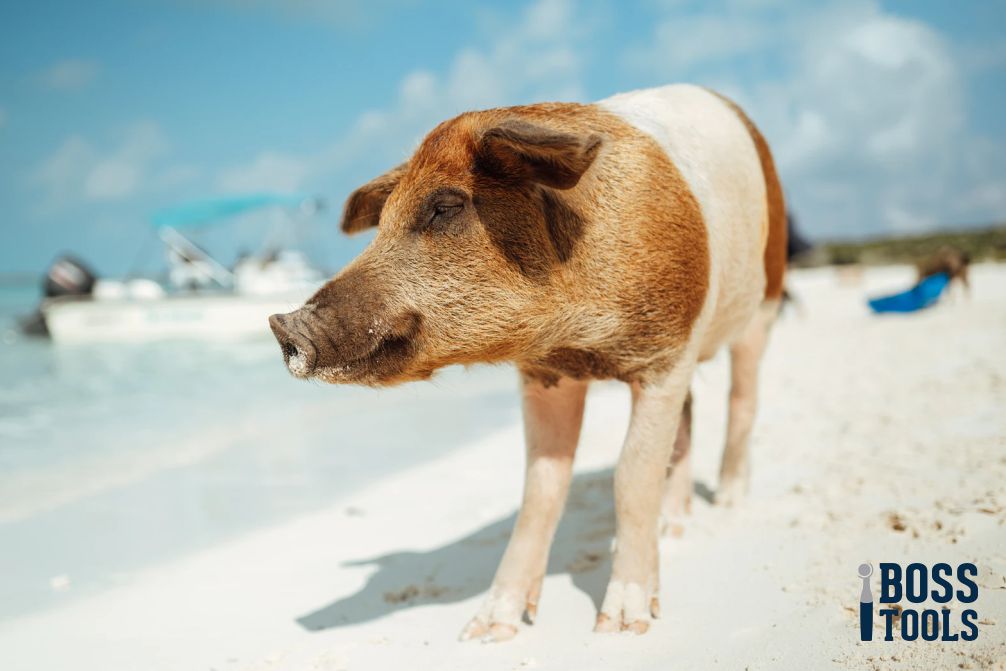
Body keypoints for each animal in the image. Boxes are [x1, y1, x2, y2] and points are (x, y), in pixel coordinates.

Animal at [269, 84, 786, 640]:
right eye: (381, 223)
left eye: (445, 206)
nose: (281, 324)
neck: (581, 339)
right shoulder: (546, 374)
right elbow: (540, 490)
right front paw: (487, 630)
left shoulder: (665, 353)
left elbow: (631, 476)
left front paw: (621, 626)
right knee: (688, 419)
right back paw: (674, 529)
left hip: (765, 299)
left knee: (743, 397)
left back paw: (730, 501)